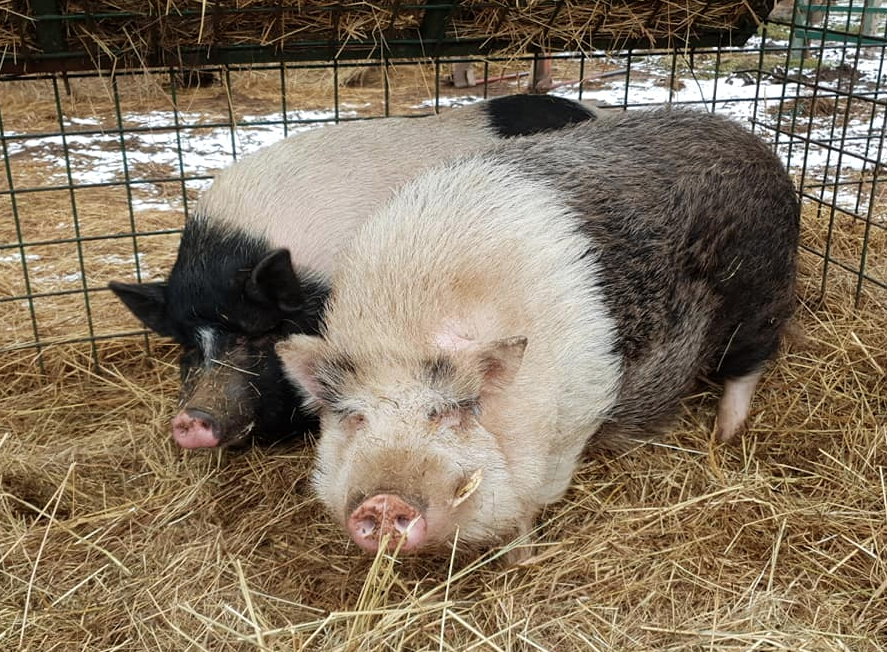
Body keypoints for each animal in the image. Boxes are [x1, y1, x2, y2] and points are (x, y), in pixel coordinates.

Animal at [276, 107, 800, 559]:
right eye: (355, 417)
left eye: (447, 412)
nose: (384, 501)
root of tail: (755, 143)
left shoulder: (569, 426)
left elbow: (531, 502)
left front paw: (521, 560)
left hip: (761, 291)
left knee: (749, 362)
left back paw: (726, 432)